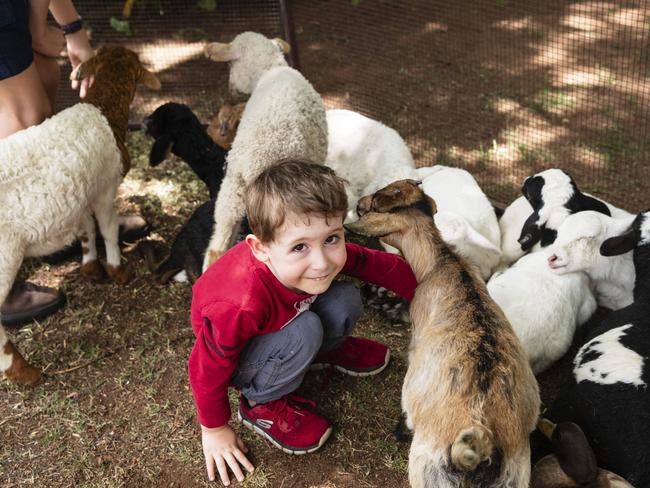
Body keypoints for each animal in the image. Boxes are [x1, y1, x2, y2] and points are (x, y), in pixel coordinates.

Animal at [0, 44, 161, 386]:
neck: (102, 109)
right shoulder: (104, 188)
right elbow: (108, 229)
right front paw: (117, 270)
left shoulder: (82, 192)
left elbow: (86, 226)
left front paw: (90, 266)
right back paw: (24, 371)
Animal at [202, 32, 326, 268]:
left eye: (231, 63)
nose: (231, 89)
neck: (271, 68)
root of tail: (260, 164)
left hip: (232, 187)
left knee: (218, 243)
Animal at [346, 180, 540, 488]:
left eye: (377, 201)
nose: (360, 203)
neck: (442, 262)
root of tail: (482, 438)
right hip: (516, 475)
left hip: (428, 468)